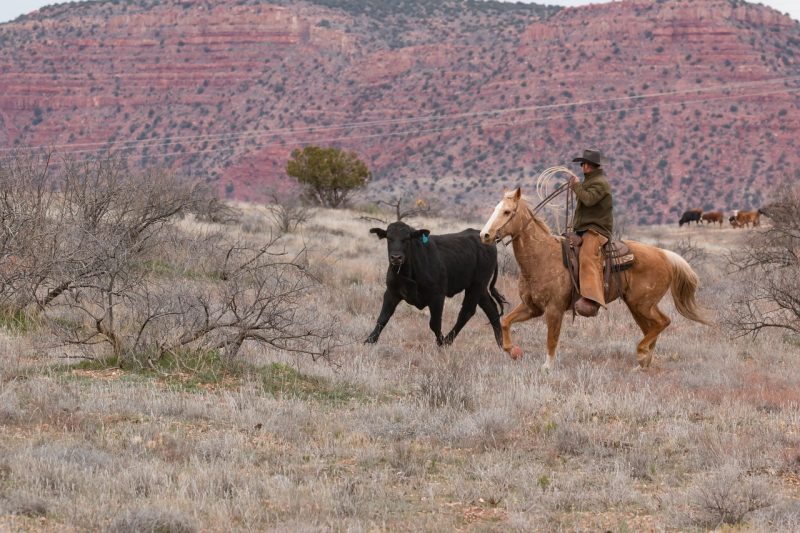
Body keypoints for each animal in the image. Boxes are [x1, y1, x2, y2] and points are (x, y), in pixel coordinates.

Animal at [366, 221, 506, 347]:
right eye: (389, 238)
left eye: (407, 238)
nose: (396, 257)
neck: (408, 273)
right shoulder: (391, 292)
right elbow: (383, 318)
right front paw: (369, 341)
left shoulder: (437, 296)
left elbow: (434, 324)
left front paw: (440, 343)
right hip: (479, 288)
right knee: (491, 309)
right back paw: (501, 344)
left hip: (477, 285)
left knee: (467, 311)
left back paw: (448, 341)